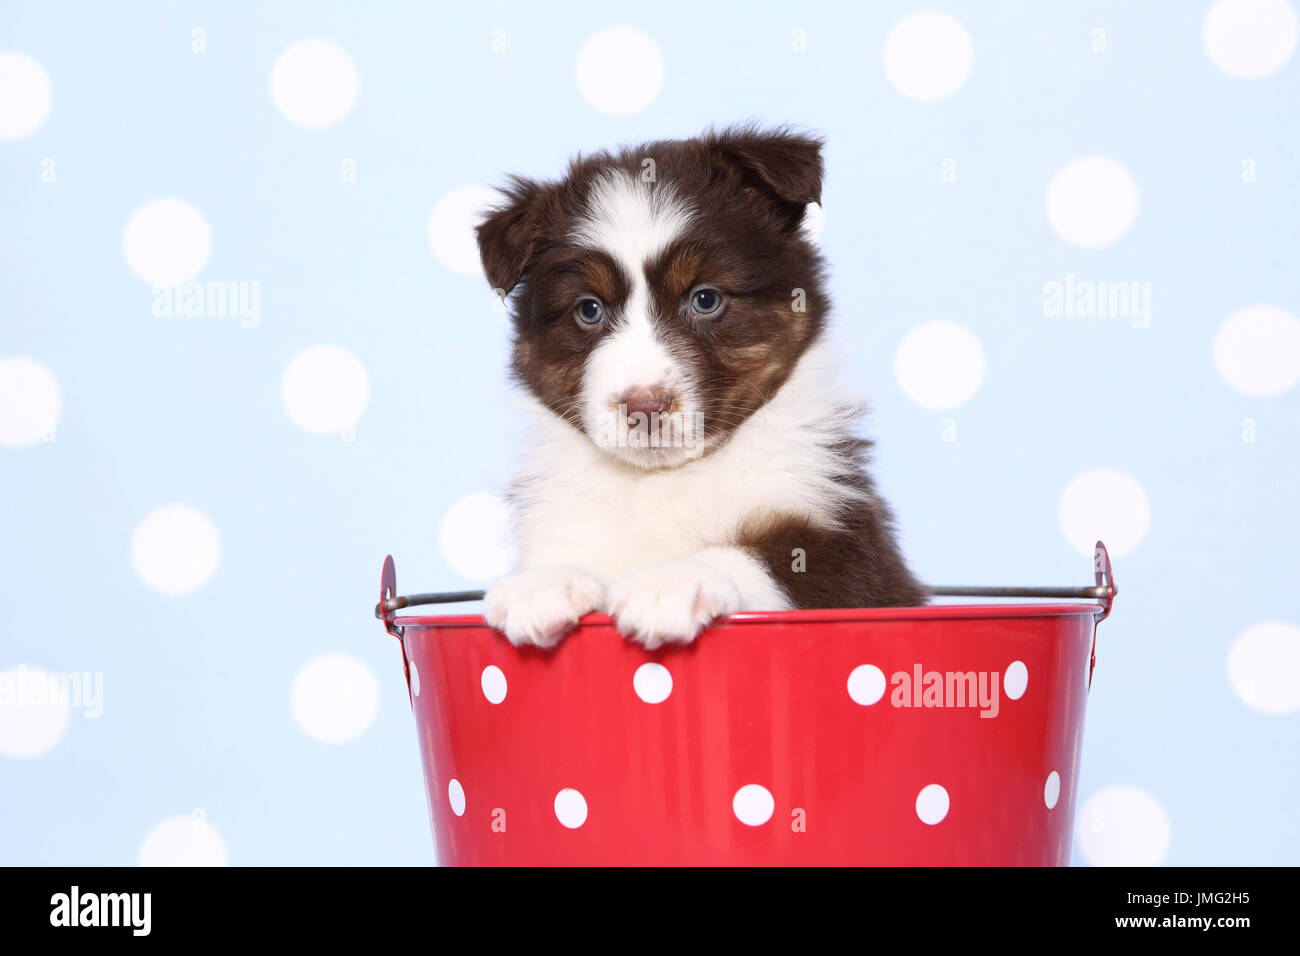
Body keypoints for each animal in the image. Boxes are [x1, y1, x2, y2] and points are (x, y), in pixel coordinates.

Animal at [478, 125, 925, 650]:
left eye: (705, 299)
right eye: (589, 309)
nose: (644, 405)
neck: (663, 479)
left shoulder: (849, 548)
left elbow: (754, 556)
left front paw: (669, 581)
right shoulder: (561, 515)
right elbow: (567, 552)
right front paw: (542, 583)